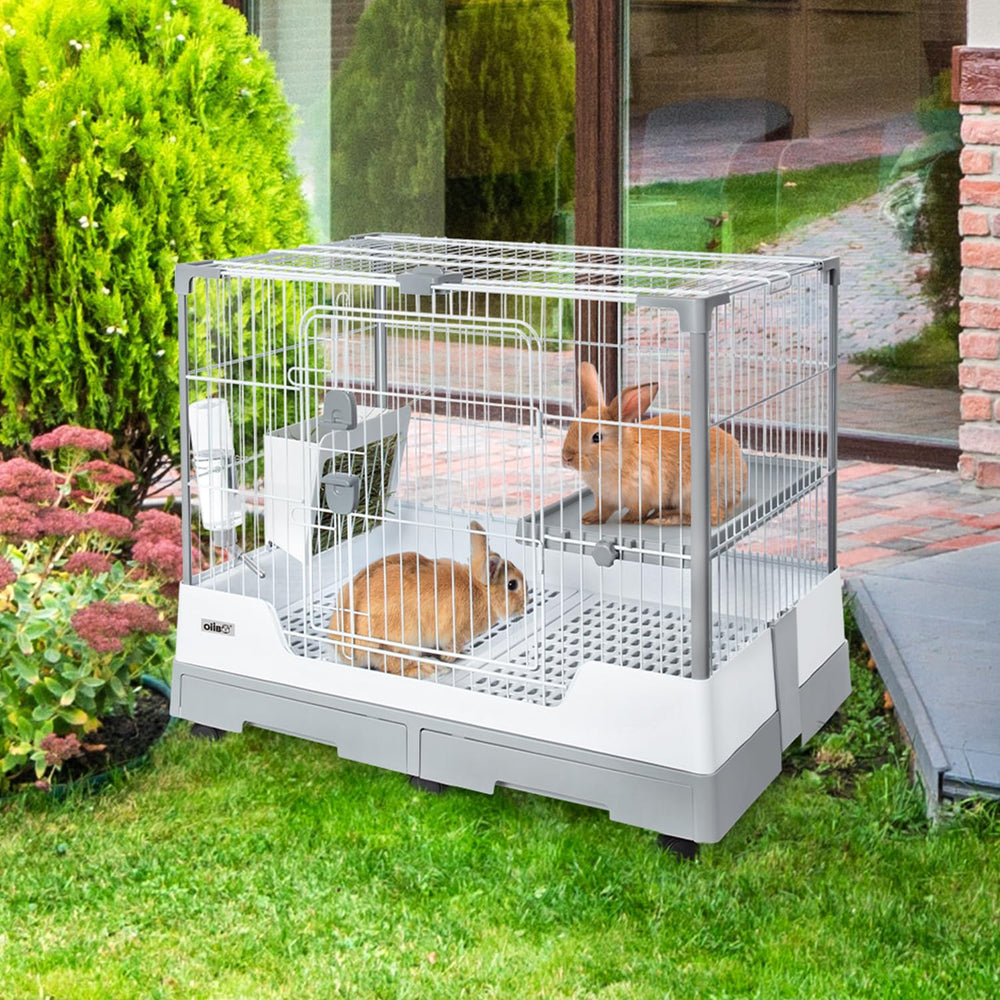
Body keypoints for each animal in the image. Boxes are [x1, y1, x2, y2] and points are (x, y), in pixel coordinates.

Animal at [330, 521, 528, 677]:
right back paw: (432, 668)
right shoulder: (454, 634)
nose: (525, 606)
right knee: (392, 668)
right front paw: (451, 658)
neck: (479, 589)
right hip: (404, 641)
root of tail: (345, 647)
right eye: (512, 585)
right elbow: (451, 648)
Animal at [561, 362, 746, 527]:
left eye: (597, 437)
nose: (566, 457)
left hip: (692, 493)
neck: (619, 456)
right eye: (571, 427)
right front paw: (588, 519)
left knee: (711, 517)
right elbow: (603, 511)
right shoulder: (604, 499)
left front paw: (628, 520)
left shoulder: (643, 494)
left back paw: (662, 519)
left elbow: (638, 510)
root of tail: (740, 483)